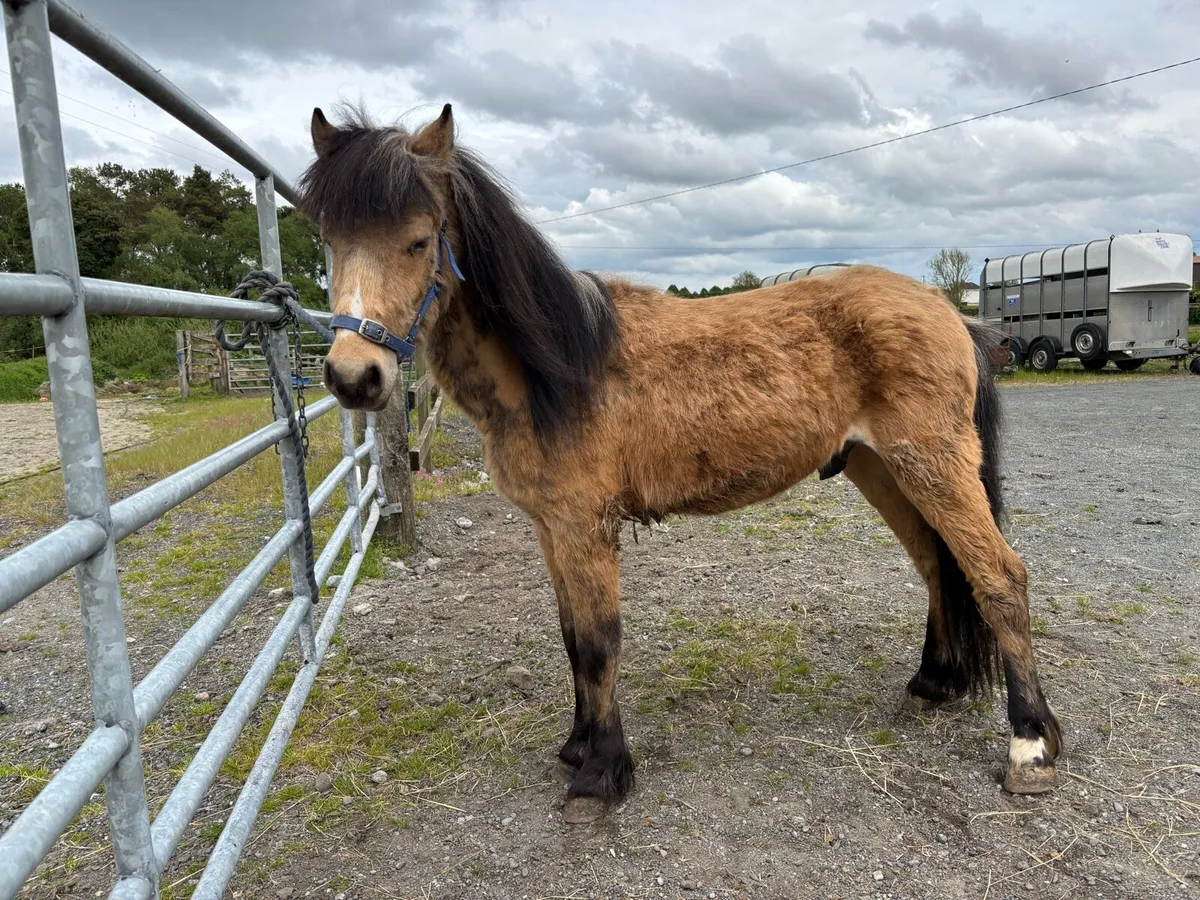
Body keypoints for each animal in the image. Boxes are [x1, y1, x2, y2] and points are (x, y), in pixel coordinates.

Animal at [296, 102, 1063, 824]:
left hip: (932, 463)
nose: (354, 378)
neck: (556, 368)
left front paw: (600, 774)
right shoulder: (550, 527)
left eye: (420, 239)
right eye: (329, 241)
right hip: (883, 468)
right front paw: (576, 745)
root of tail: (947, 310)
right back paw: (933, 684)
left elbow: (599, 642)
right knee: (938, 565)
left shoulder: (584, 525)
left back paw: (1030, 746)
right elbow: (570, 637)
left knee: (999, 578)